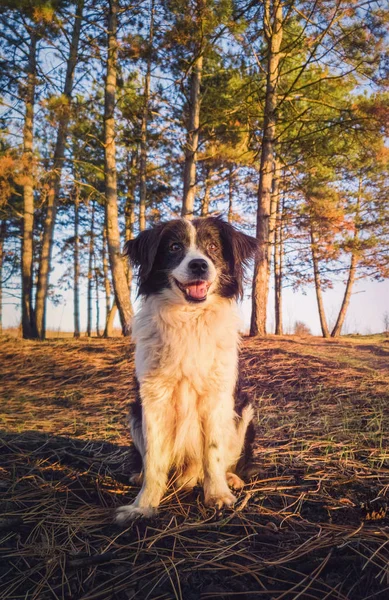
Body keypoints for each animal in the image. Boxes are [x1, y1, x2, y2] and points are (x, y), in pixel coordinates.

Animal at [115, 214, 258, 520]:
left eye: (213, 247)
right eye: (174, 247)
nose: (199, 265)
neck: (188, 319)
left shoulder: (217, 397)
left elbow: (213, 452)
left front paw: (217, 495)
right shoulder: (153, 399)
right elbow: (155, 460)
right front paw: (143, 506)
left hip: (243, 413)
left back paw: (230, 478)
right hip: (134, 413)